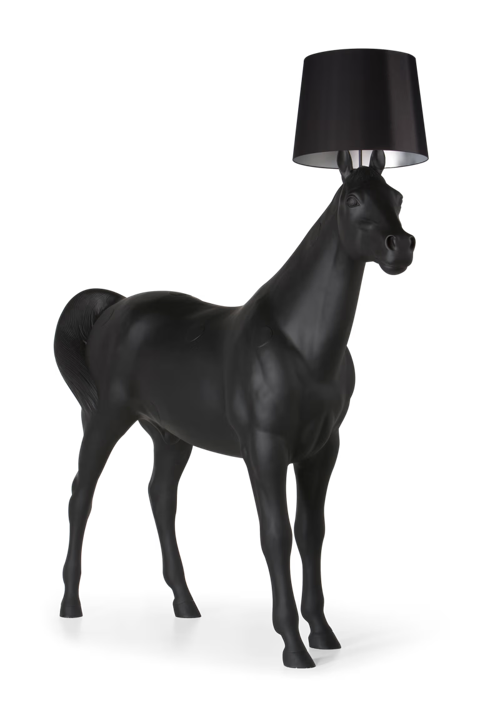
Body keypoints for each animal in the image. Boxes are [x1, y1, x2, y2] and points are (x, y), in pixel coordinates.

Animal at [54, 149, 415, 668]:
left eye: (396, 195)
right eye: (352, 199)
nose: (398, 247)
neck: (299, 345)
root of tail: (114, 308)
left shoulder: (321, 450)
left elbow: (312, 532)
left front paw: (323, 633)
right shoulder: (265, 449)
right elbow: (277, 535)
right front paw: (293, 646)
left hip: (172, 435)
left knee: (159, 495)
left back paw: (186, 605)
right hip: (106, 418)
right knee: (82, 494)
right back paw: (71, 603)